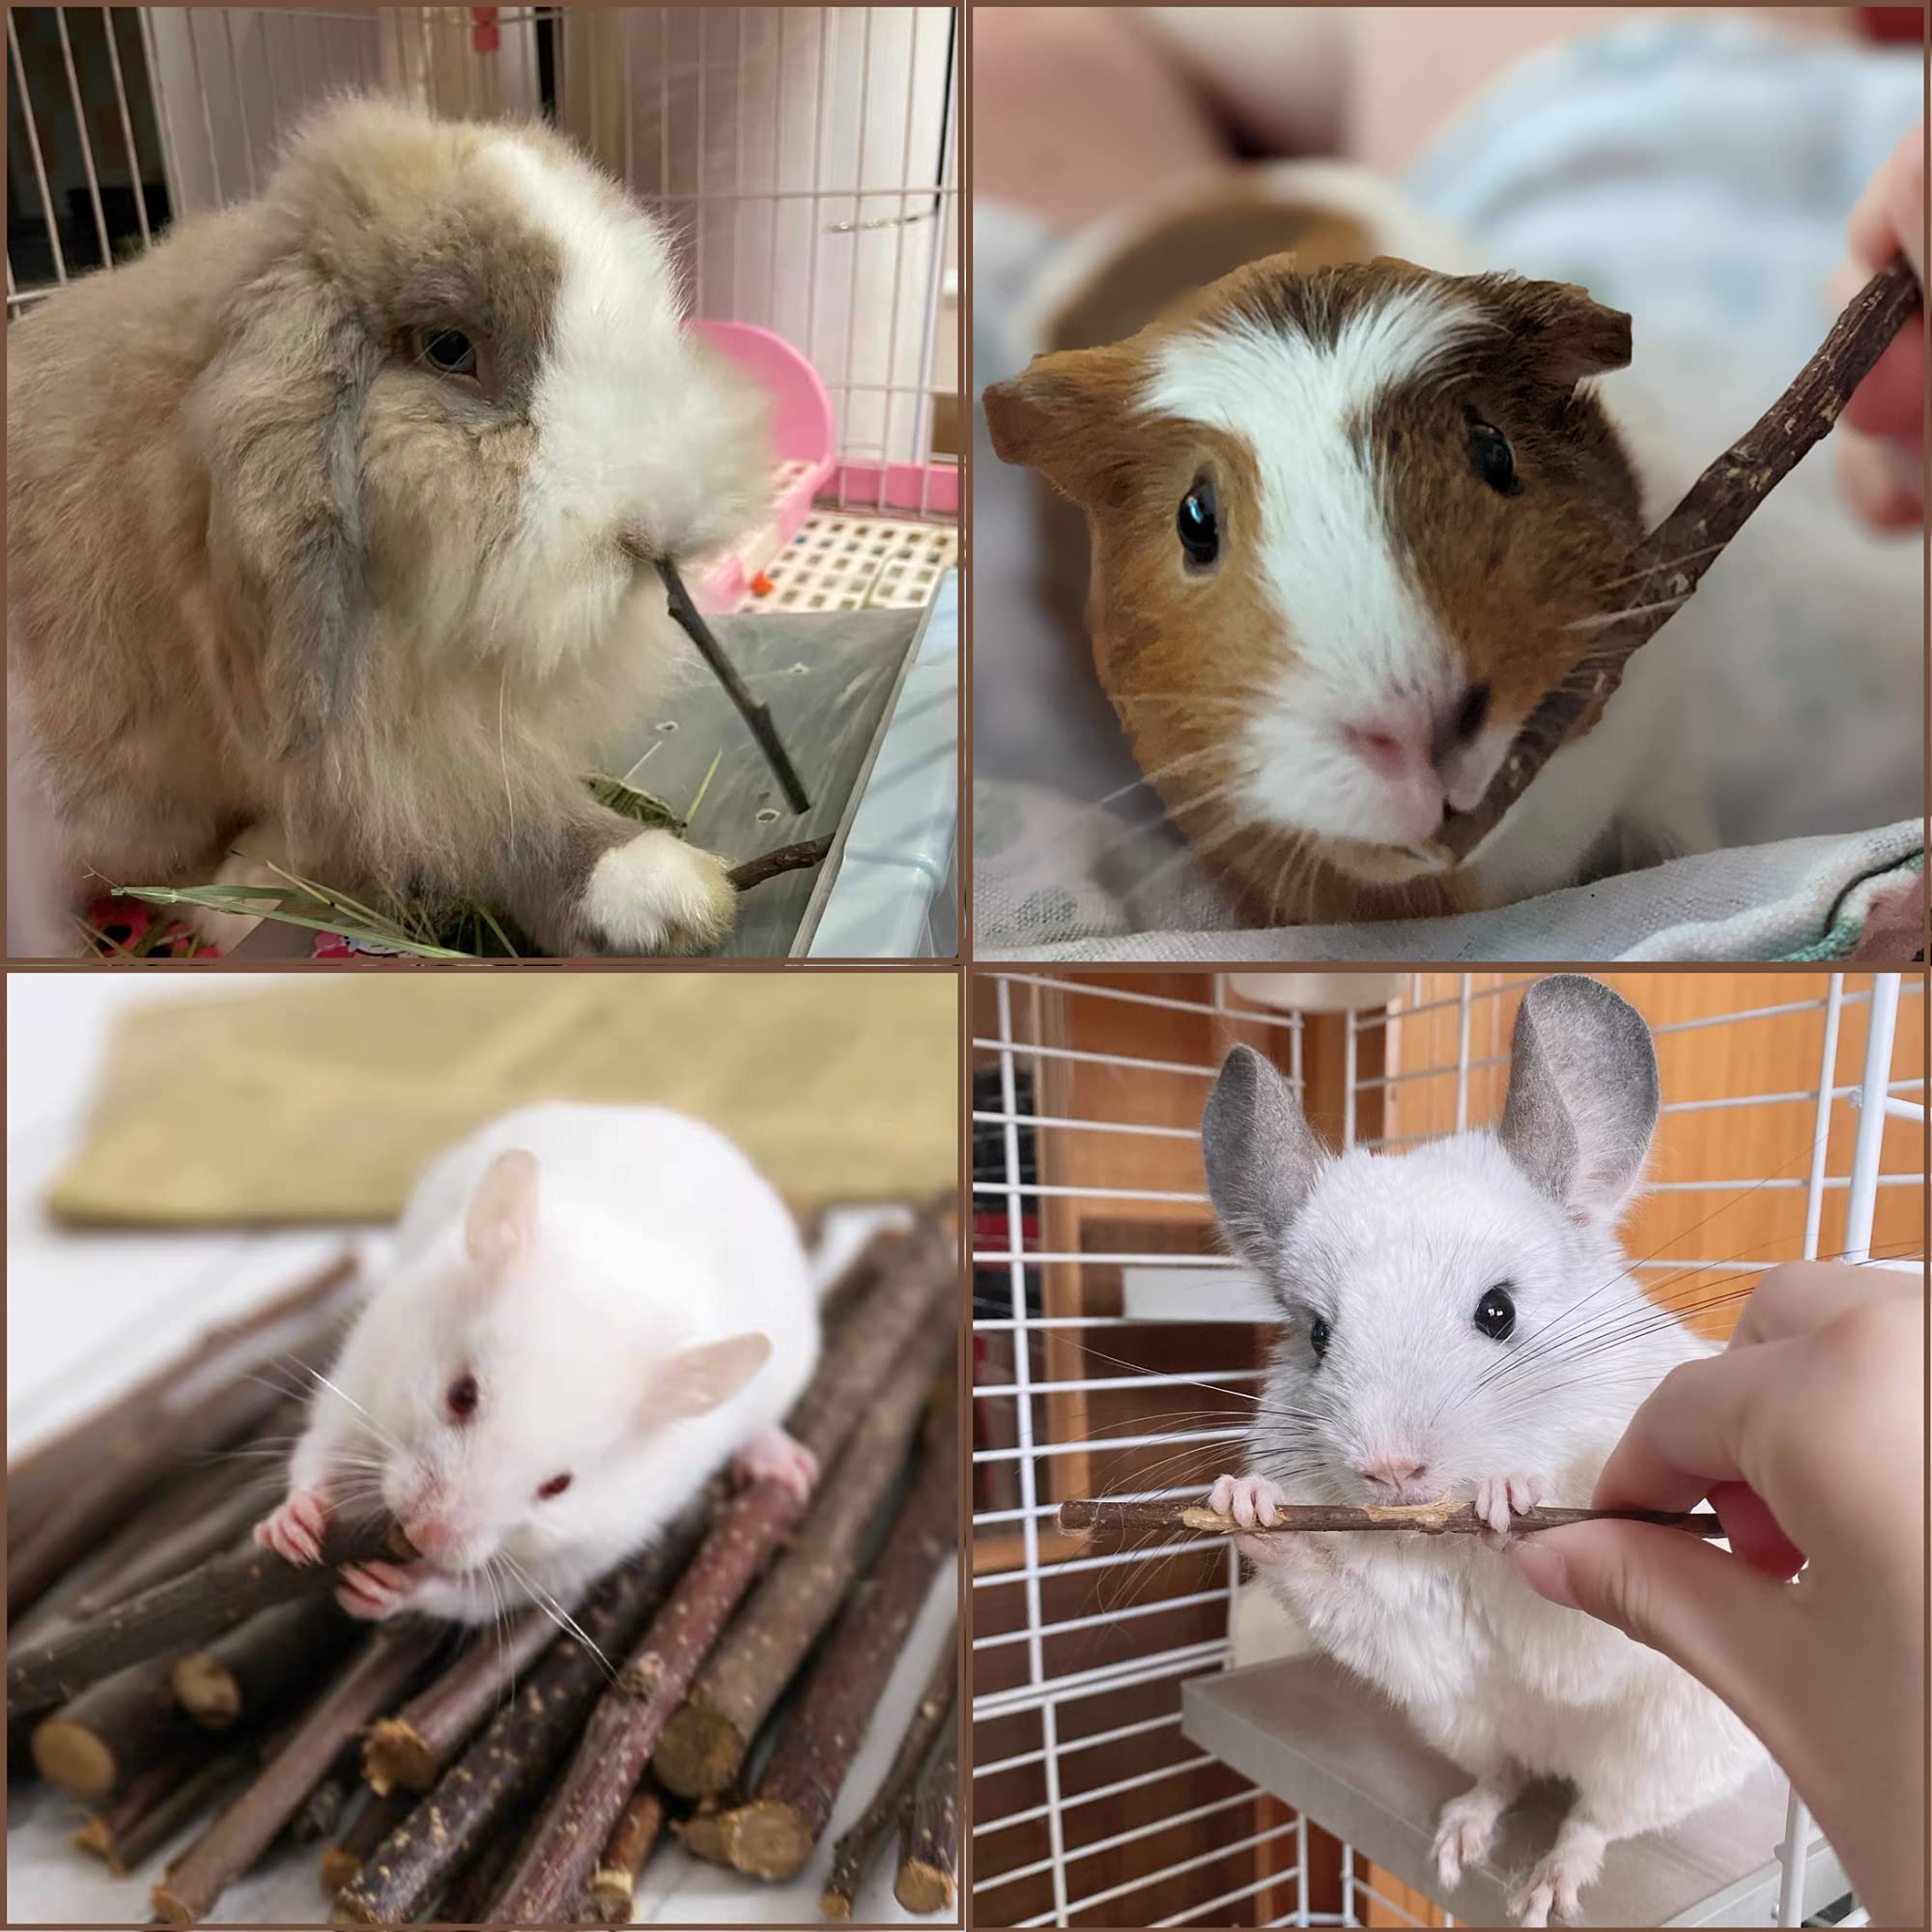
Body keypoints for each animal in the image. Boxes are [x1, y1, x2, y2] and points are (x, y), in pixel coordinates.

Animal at [255, 1102, 819, 1626]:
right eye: (461, 1395)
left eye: (558, 1486)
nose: (423, 1534)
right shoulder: (361, 1374)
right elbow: (318, 1452)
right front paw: (290, 1529)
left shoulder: (576, 1558)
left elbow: (483, 1594)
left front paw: (382, 1590)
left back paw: (793, 1469)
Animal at [1198, 976, 1769, 1924]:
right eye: (1316, 1334)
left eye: (1498, 1311)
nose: (1390, 1469)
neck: (1448, 1548)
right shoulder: (1397, 1623)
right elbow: (1336, 1583)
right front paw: (1244, 1501)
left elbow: (1578, 1621)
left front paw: (1512, 1497)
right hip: (1463, 1724)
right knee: (1505, 1776)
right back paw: (1458, 1841)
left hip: (1661, 1760)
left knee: (1592, 1820)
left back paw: (1545, 1890)